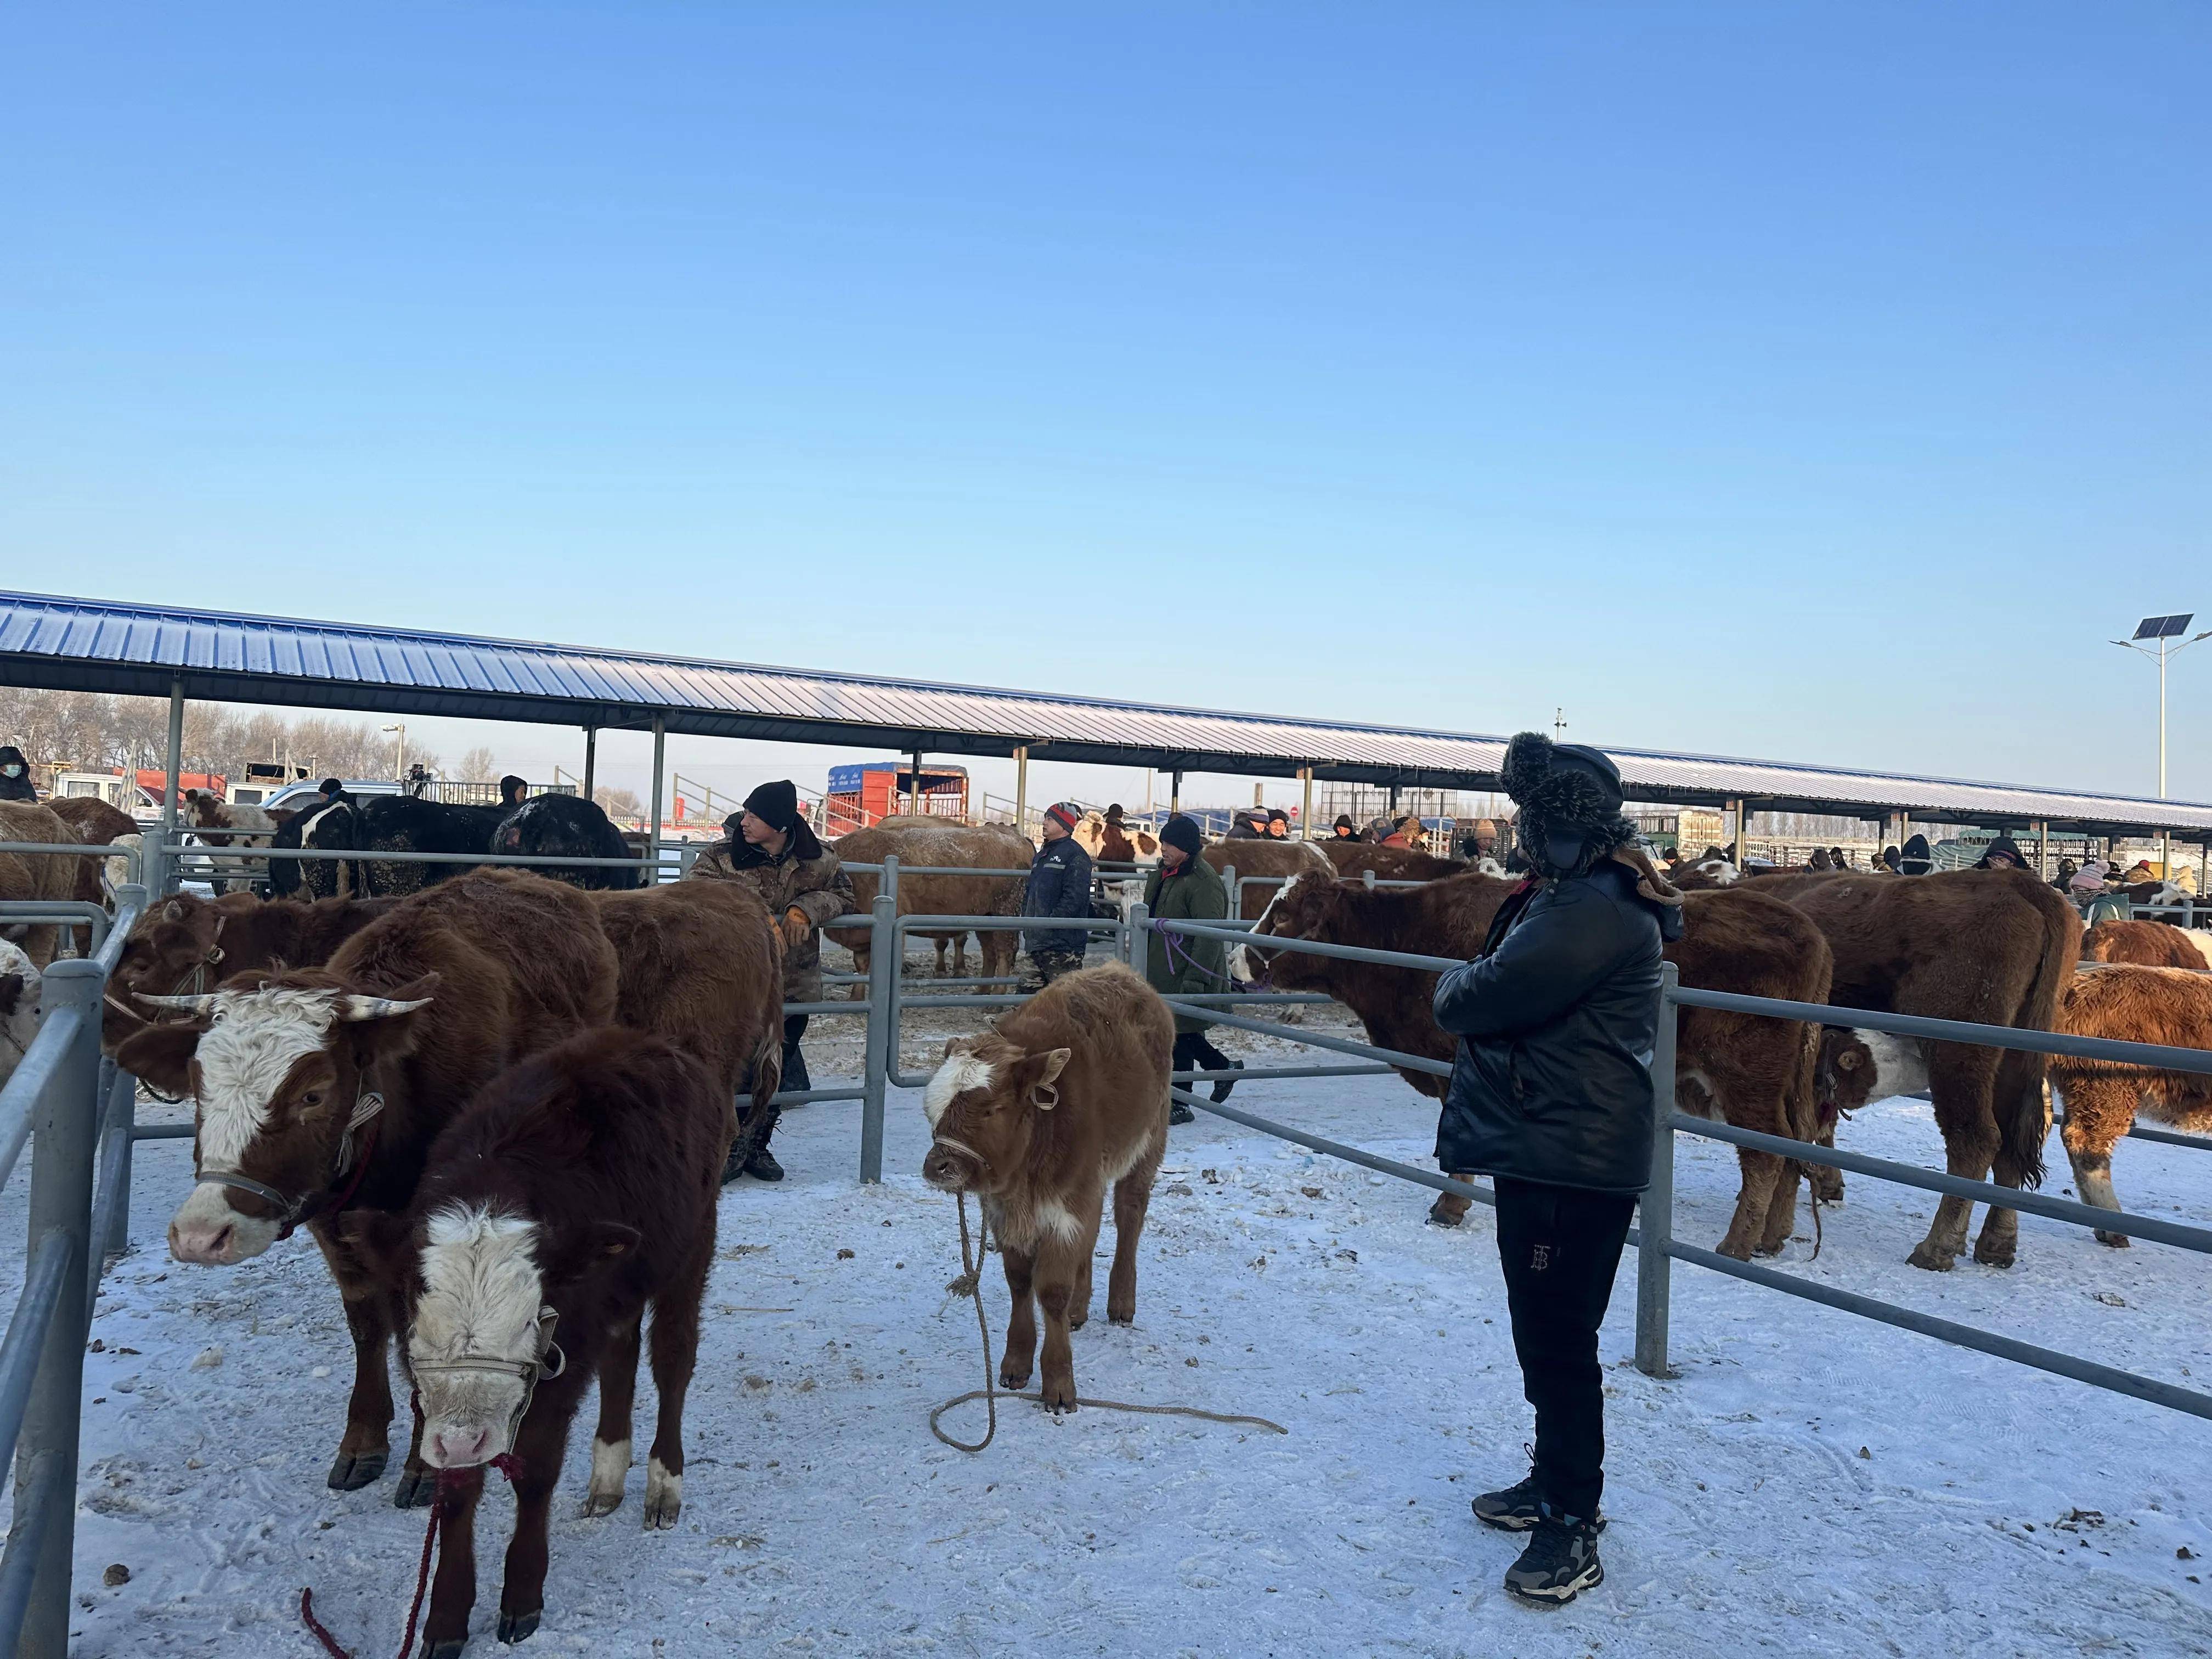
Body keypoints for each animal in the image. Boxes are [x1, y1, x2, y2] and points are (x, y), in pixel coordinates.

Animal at [116, 876, 619, 1513]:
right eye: (200, 1085)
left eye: (313, 1094)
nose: (202, 1236)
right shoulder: (334, 1228)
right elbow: (368, 1327)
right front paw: (363, 1440)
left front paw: (424, 1465)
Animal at [340, 1035, 725, 1654]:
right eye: (417, 1309)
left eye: (529, 1320)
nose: (466, 1440)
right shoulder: (449, 1414)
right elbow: (457, 1491)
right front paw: (445, 1618)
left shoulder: (559, 1366)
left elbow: (537, 1472)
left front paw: (522, 1594)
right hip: (617, 1288)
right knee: (621, 1355)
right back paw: (607, 1476)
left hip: (692, 1242)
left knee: (673, 1358)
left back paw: (663, 1484)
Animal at [916, 960, 1177, 1415]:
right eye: (933, 1107)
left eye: (992, 1108)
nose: (938, 1166)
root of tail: (1121, 972)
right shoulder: (1008, 1210)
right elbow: (1020, 1282)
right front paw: (1016, 1362)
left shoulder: (1066, 1208)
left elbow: (1052, 1289)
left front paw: (1058, 1380)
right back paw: (1079, 1308)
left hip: (1148, 1144)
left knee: (1129, 1215)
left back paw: (1121, 1301)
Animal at [1248, 871, 1831, 1256]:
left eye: (1284, 915)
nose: (1239, 956)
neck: (1403, 936)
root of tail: (1808, 930)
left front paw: (1452, 1204)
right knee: (1791, 1146)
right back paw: (1772, 1236)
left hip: (1746, 1078)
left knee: (1765, 1153)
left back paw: (1737, 1243)